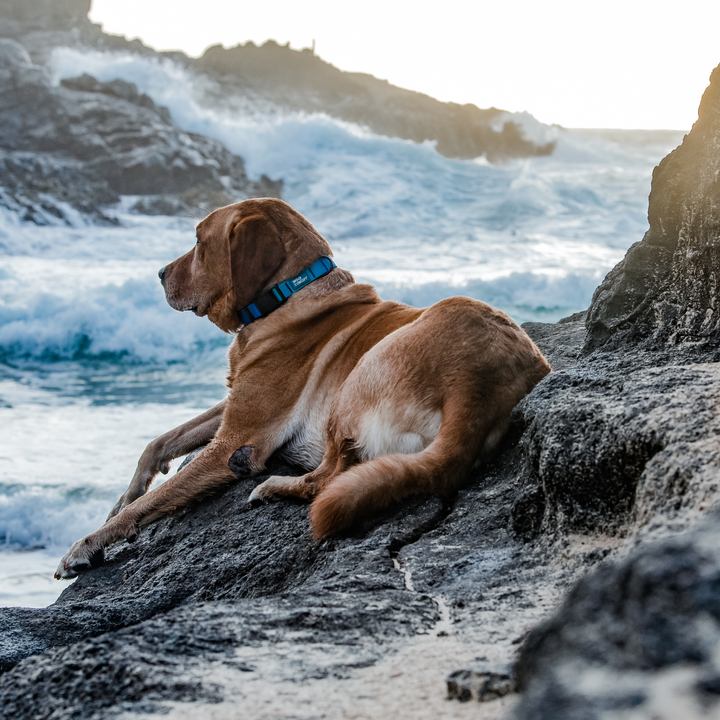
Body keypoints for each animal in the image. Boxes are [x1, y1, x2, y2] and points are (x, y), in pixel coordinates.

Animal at [54, 197, 552, 580]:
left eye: (197, 242)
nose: (157, 272)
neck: (289, 294)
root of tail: (475, 390)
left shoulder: (237, 441)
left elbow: (153, 502)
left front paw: (88, 544)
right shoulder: (234, 404)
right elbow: (160, 441)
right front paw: (126, 493)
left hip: (360, 375)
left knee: (329, 478)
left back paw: (275, 486)